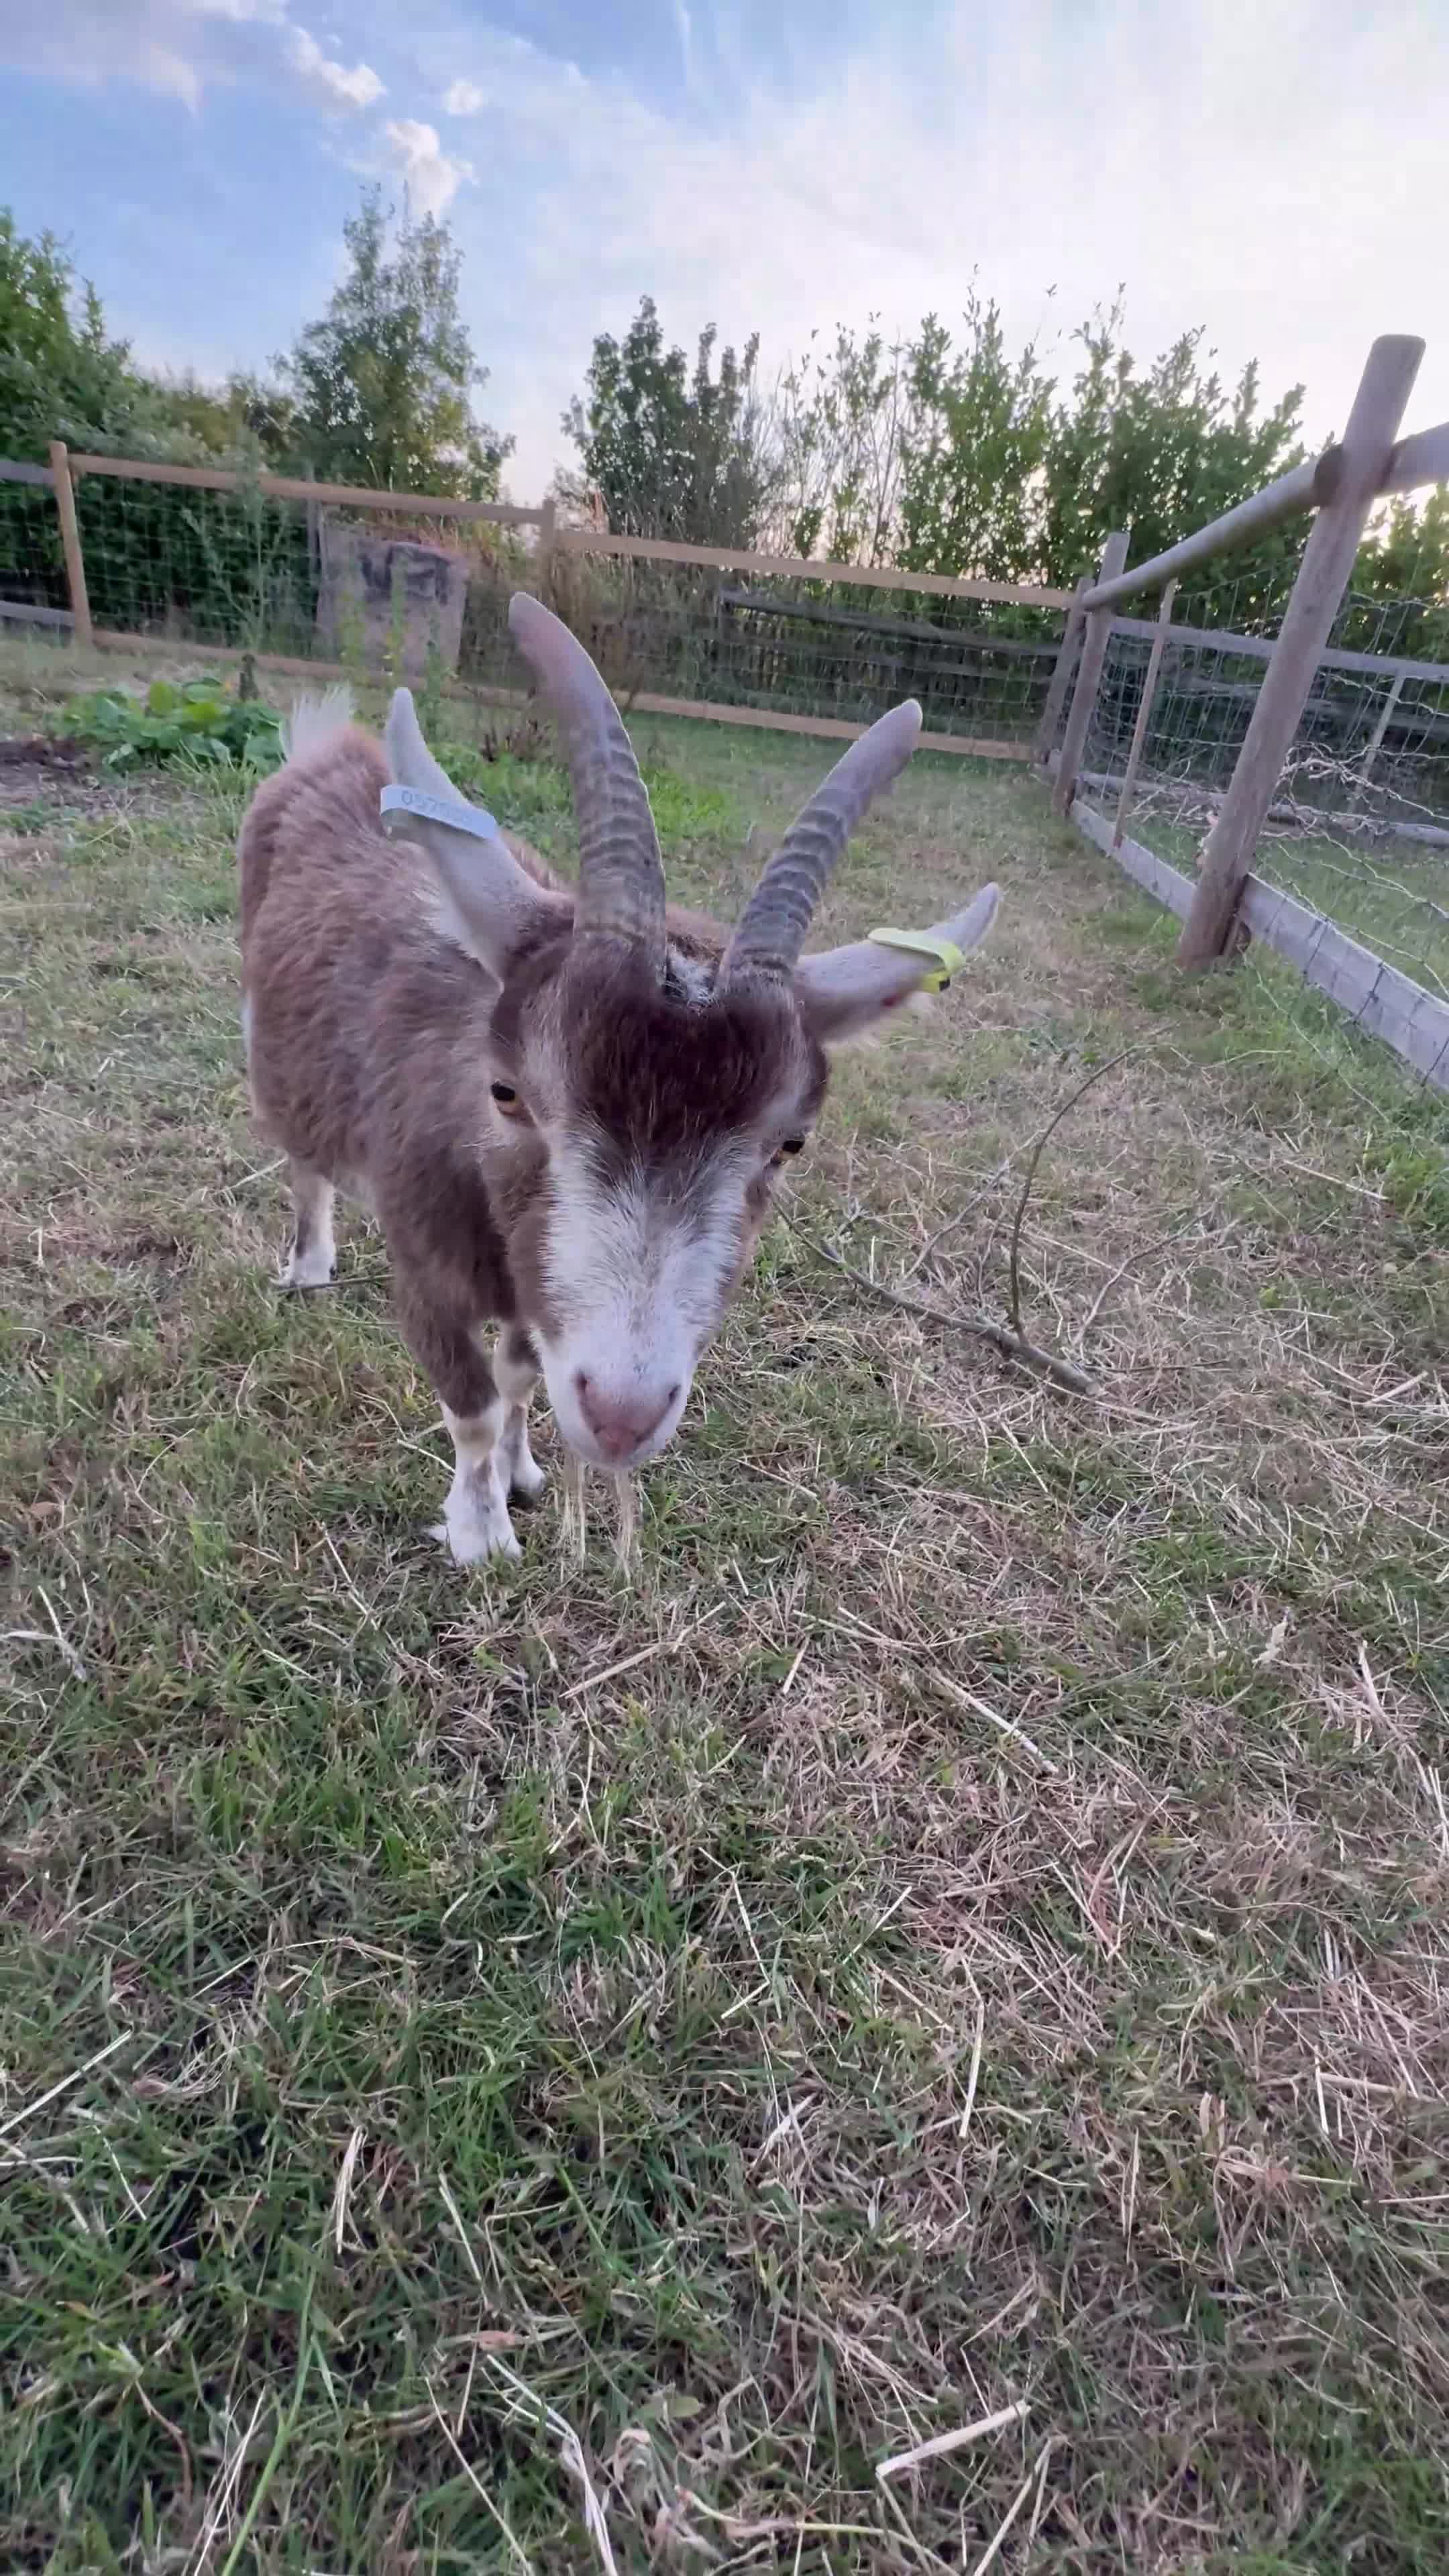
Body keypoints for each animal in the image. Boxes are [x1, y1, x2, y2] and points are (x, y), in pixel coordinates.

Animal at [237, 595, 1000, 1563]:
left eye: (789, 1143)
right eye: (507, 1093)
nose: (622, 1418)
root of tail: (335, 748)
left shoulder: (538, 1302)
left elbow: (518, 1378)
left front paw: (522, 1475)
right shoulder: (424, 1270)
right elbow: (472, 1406)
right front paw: (479, 1533)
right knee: (303, 1158)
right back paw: (308, 1265)